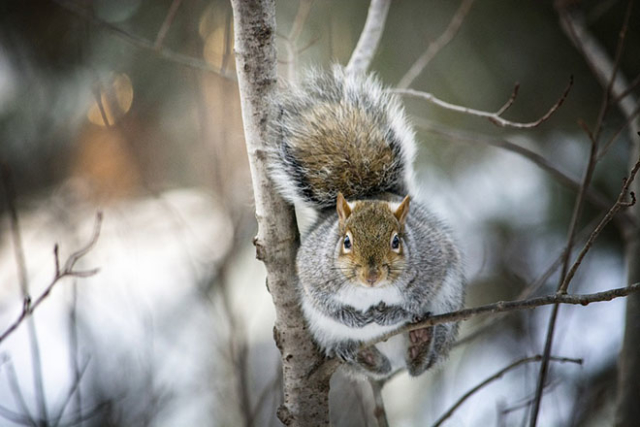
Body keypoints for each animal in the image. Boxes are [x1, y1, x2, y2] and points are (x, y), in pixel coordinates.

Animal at [266, 65, 464, 380]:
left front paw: (394, 314)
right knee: (379, 369)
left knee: (419, 367)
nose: (371, 276)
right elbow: (323, 302)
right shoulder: (312, 272)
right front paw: (351, 318)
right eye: (346, 241)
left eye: (396, 241)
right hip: (325, 334)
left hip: (448, 309)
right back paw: (362, 355)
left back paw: (420, 345)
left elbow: (421, 294)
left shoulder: (434, 260)